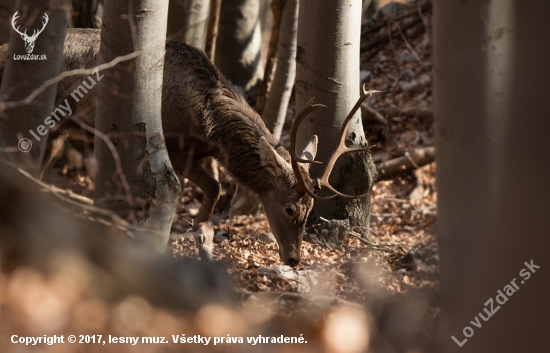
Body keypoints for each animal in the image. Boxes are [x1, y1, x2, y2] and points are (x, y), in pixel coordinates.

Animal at [0, 28, 378, 266]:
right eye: (288, 209)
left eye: (309, 210)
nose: (294, 259)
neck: (208, 123)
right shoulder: (175, 146)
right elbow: (205, 188)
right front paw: (190, 232)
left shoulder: (199, 154)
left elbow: (213, 188)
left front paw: (200, 230)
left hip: (60, 130)